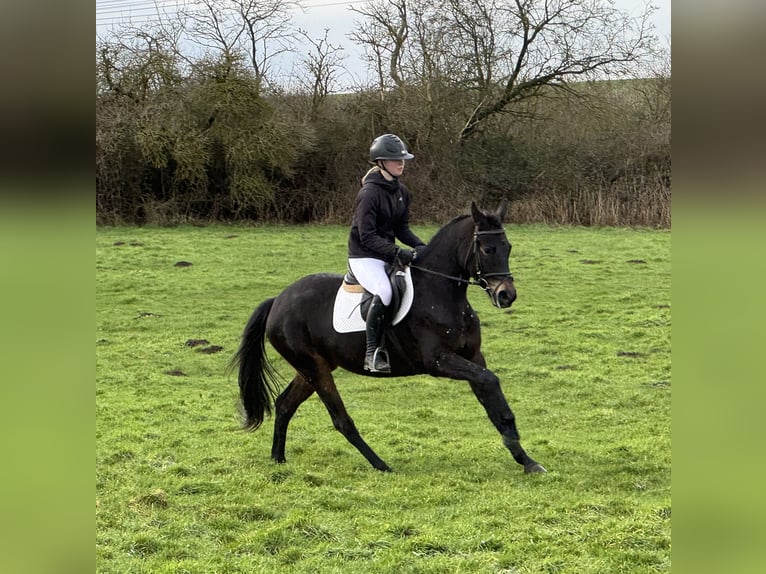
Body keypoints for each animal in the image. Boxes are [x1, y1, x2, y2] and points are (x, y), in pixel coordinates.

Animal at [231, 200, 548, 474]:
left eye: (507, 247)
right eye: (486, 248)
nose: (506, 295)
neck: (441, 293)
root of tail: (278, 300)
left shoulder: (473, 356)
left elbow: (492, 398)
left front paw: (525, 459)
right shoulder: (438, 361)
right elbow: (490, 381)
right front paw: (518, 449)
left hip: (314, 367)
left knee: (285, 404)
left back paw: (278, 458)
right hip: (314, 368)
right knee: (341, 420)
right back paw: (380, 465)